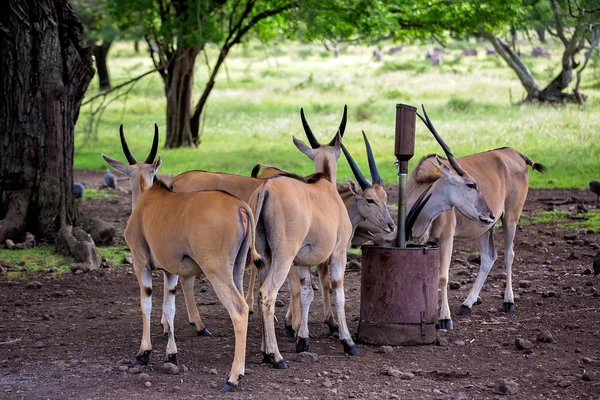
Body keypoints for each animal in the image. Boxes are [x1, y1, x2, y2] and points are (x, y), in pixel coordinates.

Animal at [102, 126, 262, 392]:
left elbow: (146, 304)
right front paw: (171, 354)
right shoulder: (171, 271)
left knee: (239, 310)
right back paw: (242, 369)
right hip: (237, 269)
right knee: (245, 304)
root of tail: (241, 207)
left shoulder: (141, 264)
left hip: (217, 270)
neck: (147, 199)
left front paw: (143, 353)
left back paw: (232, 378)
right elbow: (170, 307)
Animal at [248, 105, 360, 366]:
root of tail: (265, 189)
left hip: (267, 258)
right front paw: (348, 342)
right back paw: (276, 356)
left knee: (261, 293)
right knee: (267, 293)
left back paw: (265, 351)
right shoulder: (338, 254)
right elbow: (338, 293)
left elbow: (307, 292)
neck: (324, 185)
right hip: (283, 256)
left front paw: (303, 339)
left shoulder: (302, 262)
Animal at [408, 106, 544, 328]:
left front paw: (445, 318)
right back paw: (467, 304)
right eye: (471, 184)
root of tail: (515, 154)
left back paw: (508, 301)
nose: (489, 214)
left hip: (510, 217)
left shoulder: (446, 238)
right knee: (489, 257)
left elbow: (443, 276)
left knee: (508, 254)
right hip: (484, 229)